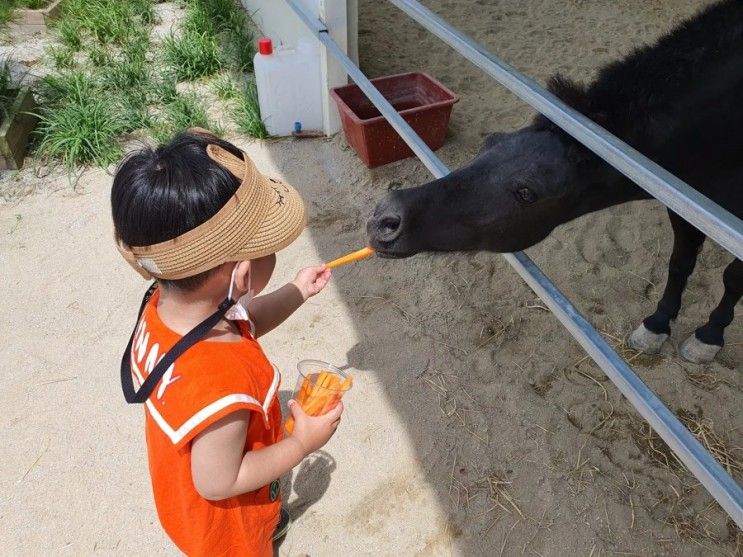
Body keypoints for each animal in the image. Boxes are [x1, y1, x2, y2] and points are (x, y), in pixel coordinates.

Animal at [370, 0, 740, 362]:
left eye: (526, 192)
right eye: (490, 141)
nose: (385, 218)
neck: (717, 126)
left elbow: (731, 279)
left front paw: (708, 337)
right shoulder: (684, 210)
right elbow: (679, 264)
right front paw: (657, 326)